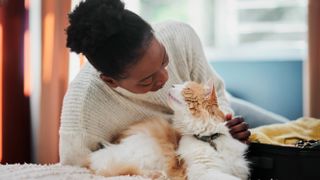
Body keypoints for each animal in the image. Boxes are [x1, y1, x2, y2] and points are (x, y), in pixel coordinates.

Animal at [87, 80, 250, 180]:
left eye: (186, 88)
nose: (172, 85)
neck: (210, 138)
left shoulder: (238, 168)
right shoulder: (203, 171)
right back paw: (157, 174)